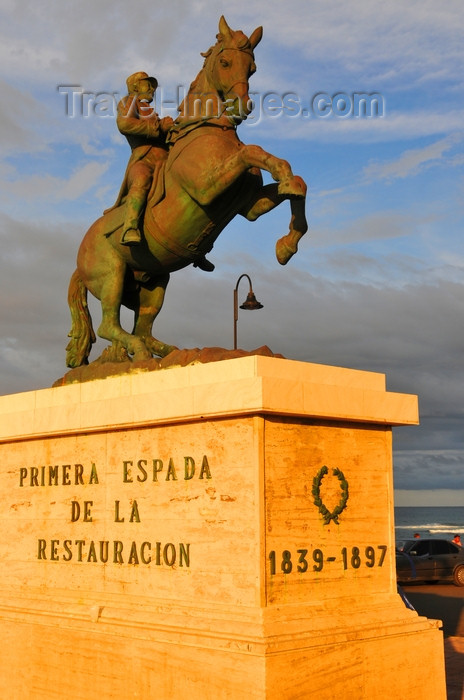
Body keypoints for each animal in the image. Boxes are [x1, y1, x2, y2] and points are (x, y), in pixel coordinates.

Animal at [66, 15, 308, 366]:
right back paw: (143, 353)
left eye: (252, 68)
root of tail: (78, 260)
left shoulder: (248, 206)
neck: (209, 129)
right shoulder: (207, 188)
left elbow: (296, 184)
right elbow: (253, 152)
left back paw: (178, 353)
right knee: (110, 325)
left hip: (154, 284)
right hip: (111, 275)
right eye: (225, 62)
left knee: (144, 330)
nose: (242, 106)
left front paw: (286, 246)